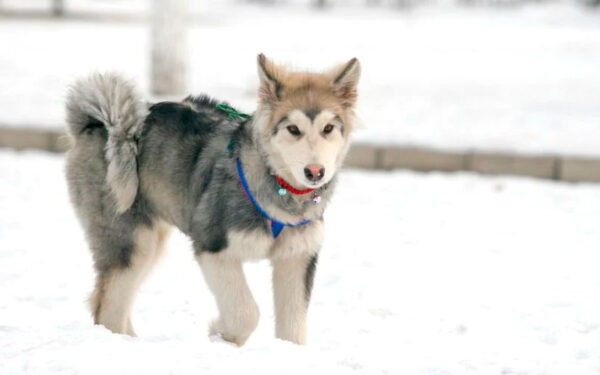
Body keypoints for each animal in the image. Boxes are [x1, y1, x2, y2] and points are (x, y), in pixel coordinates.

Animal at [64, 53, 360, 346]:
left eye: (328, 128)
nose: (315, 172)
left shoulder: (297, 257)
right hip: (131, 240)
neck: (280, 190)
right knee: (107, 308)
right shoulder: (213, 246)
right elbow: (245, 312)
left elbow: (293, 330)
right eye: (294, 129)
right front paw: (220, 332)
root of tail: (96, 125)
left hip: (150, 242)